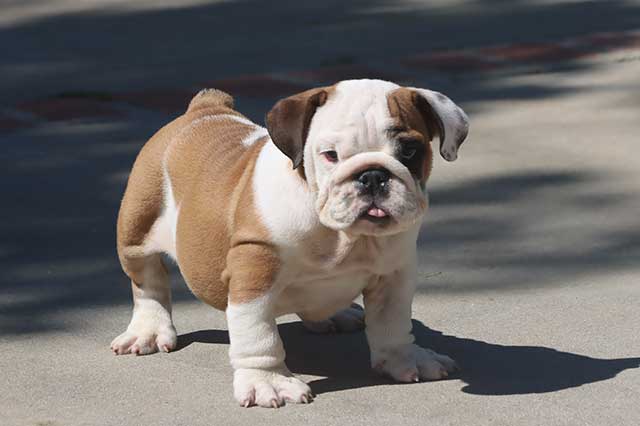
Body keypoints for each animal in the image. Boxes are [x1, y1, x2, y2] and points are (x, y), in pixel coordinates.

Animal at [111, 79, 470, 408]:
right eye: (330, 155)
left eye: (409, 151)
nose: (372, 175)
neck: (342, 235)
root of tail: (203, 109)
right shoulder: (255, 271)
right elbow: (259, 336)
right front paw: (268, 382)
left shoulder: (394, 275)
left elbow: (393, 322)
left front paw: (404, 359)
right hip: (137, 230)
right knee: (149, 283)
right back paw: (149, 330)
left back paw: (337, 314)